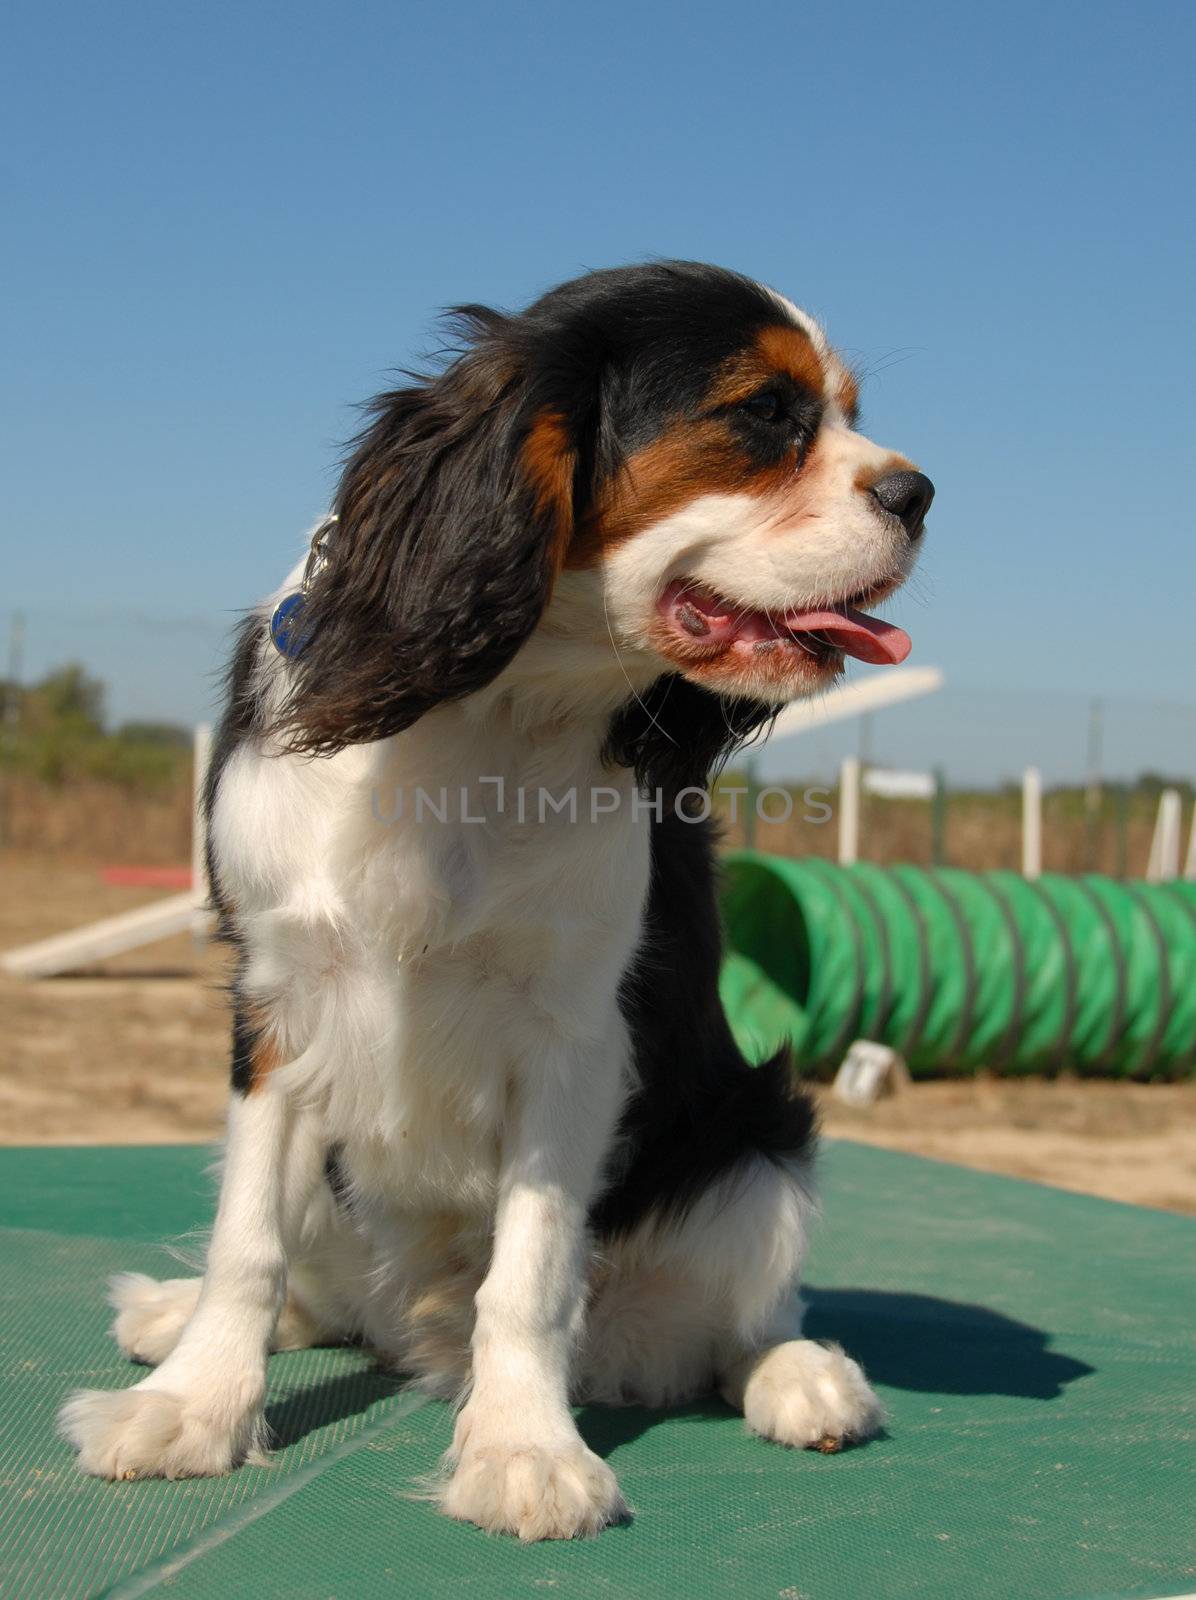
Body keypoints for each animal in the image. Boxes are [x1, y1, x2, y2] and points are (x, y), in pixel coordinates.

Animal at [58, 259, 933, 1536]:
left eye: (849, 414)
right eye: (763, 414)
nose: (919, 493)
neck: (492, 710)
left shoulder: (573, 1038)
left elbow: (527, 1273)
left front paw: (521, 1448)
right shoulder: (275, 1002)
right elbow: (245, 1243)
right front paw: (194, 1406)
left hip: (760, 1137)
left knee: (745, 1317)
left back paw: (804, 1378)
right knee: (318, 1289)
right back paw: (177, 1320)